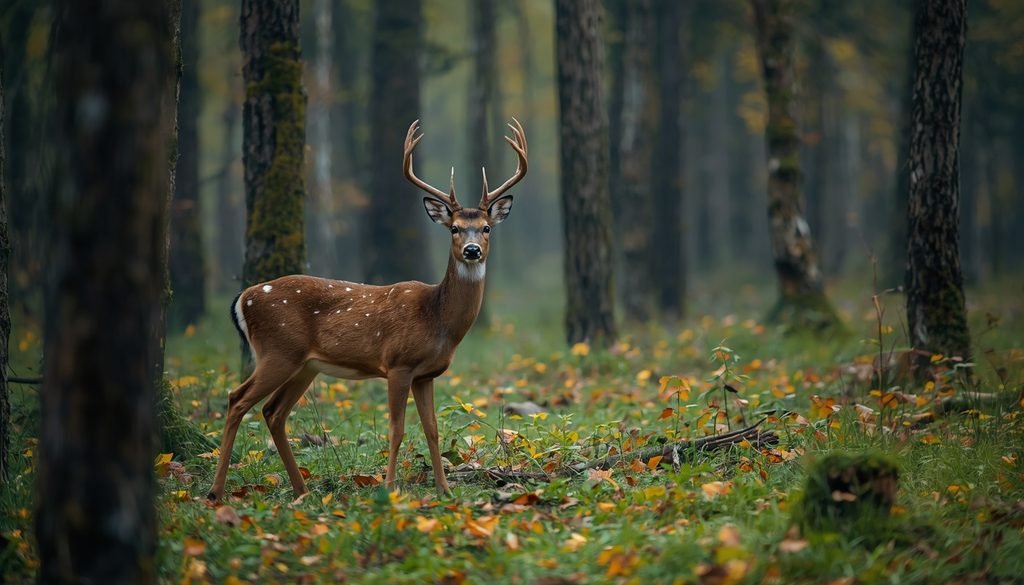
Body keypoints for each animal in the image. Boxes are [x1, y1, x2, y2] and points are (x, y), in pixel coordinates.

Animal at [207, 119, 528, 502]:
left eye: (486, 228)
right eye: (454, 228)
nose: (472, 250)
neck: (437, 319)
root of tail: (243, 297)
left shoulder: (426, 374)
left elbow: (432, 429)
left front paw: (445, 489)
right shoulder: (398, 364)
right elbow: (397, 428)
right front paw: (388, 488)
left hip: (304, 364)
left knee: (273, 411)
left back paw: (302, 489)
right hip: (277, 350)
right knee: (237, 399)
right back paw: (216, 492)